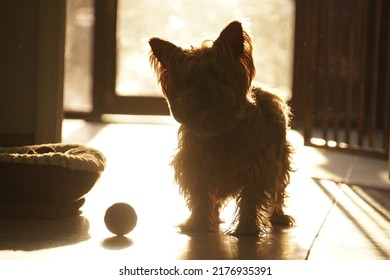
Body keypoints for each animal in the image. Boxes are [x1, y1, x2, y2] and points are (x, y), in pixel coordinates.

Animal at [149, 20, 292, 236]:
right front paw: (197, 223)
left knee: (279, 187)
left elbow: (251, 198)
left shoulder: (258, 167)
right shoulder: (194, 167)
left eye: (216, 74)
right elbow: (200, 197)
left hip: (281, 158)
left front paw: (246, 228)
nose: (204, 96)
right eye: (189, 79)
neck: (217, 128)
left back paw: (278, 216)